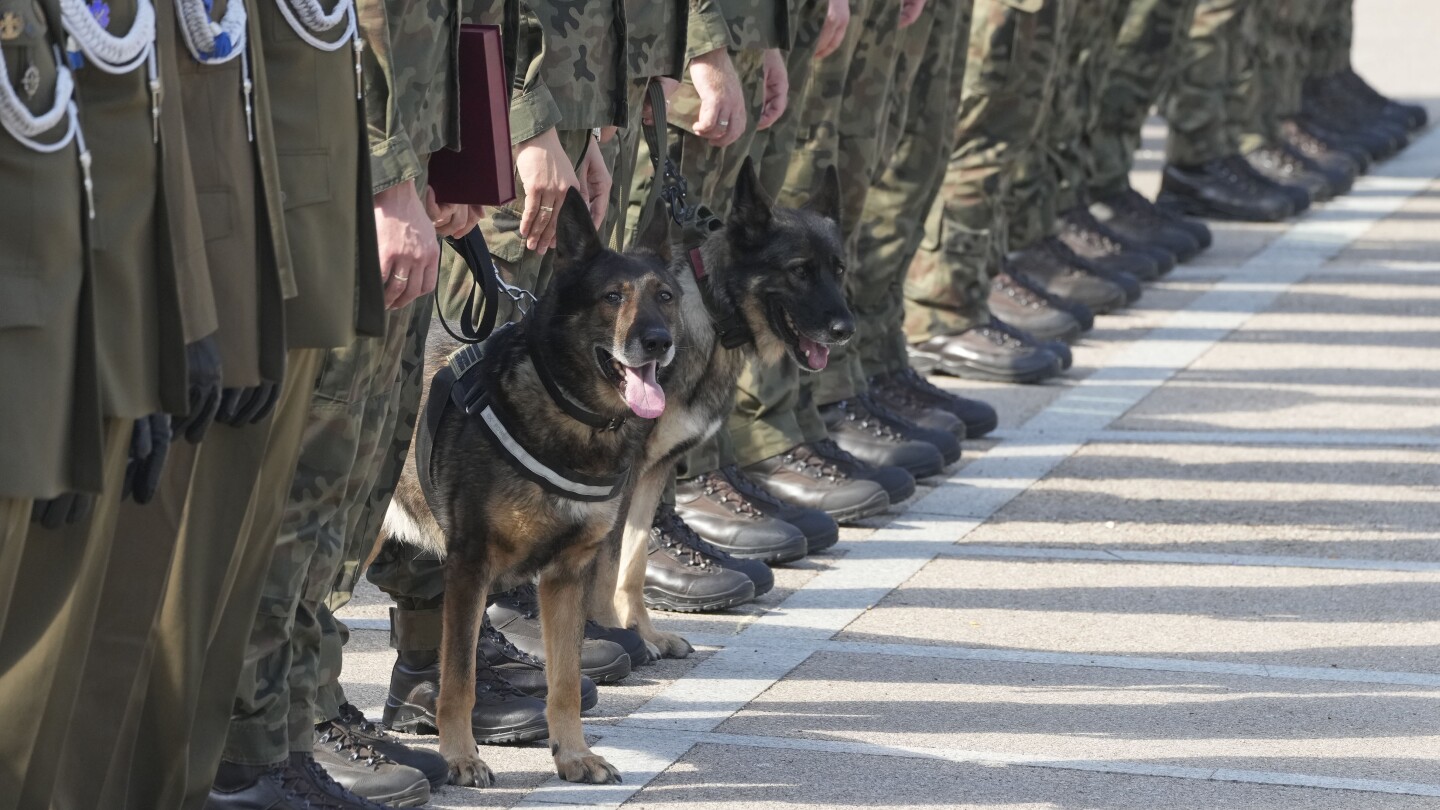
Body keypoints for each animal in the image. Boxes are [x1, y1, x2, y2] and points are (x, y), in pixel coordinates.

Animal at [593, 157, 858, 657]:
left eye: (838, 270)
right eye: (799, 271)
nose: (846, 329)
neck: (709, 314)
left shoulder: (653, 473)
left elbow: (632, 560)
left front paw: (641, 631)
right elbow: (606, 558)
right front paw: (605, 635)